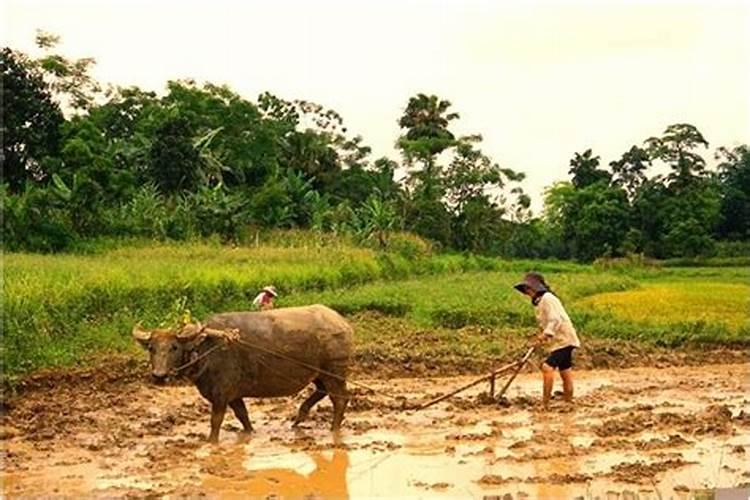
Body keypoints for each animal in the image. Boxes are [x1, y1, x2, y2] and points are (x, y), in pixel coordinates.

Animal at [133, 304, 356, 442]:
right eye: (151, 348)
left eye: (174, 348)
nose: (159, 375)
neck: (205, 349)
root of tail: (342, 323)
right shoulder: (234, 395)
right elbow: (243, 416)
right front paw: (250, 432)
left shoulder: (221, 395)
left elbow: (216, 421)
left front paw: (211, 442)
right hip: (320, 374)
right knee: (322, 392)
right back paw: (298, 418)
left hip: (334, 373)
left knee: (340, 399)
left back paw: (333, 428)